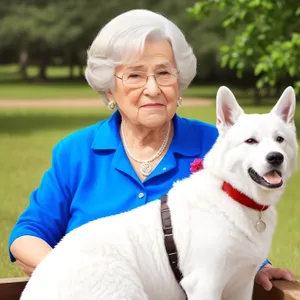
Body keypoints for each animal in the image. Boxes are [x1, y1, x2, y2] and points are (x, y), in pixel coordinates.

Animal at [20, 85, 298, 298]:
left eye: (280, 140)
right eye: (250, 141)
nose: (276, 158)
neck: (233, 193)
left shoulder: (241, 286)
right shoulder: (205, 285)